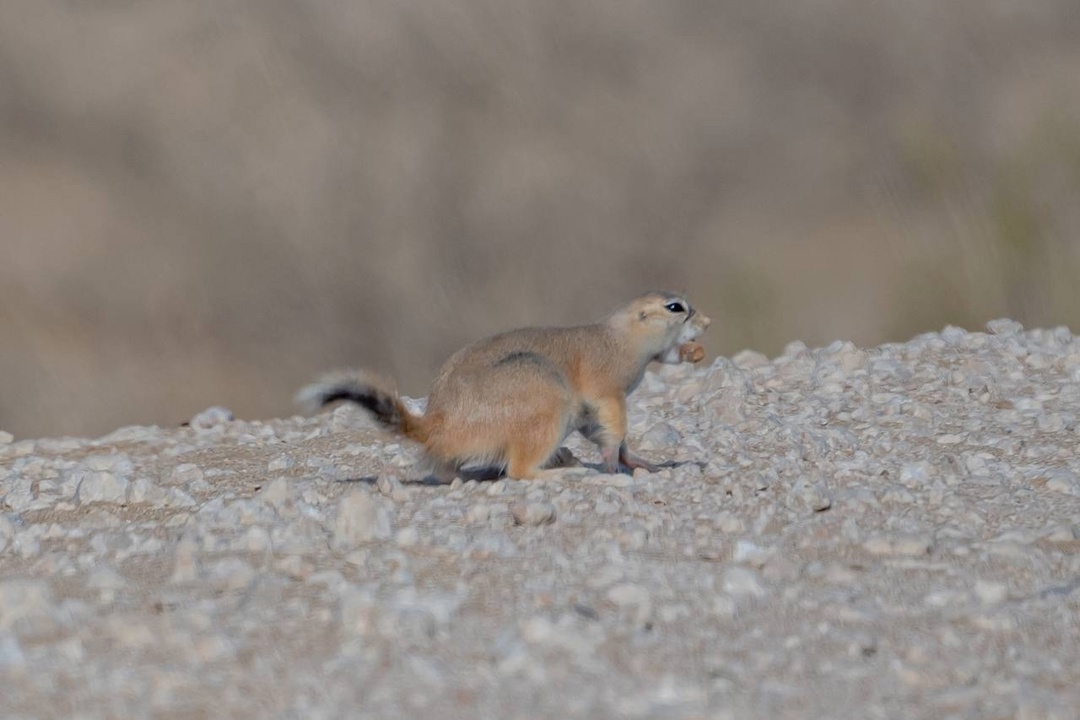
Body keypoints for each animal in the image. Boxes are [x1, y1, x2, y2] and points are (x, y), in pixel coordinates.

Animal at [300, 289, 712, 481]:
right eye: (675, 307)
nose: (707, 322)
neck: (620, 335)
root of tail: (435, 425)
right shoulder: (608, 392)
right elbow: (614, 431)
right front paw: (611, 465)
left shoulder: (588, 413)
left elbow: (614, 438)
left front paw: (645, 462)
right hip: (548, 398)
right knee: (518, 470)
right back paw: (564, 470)